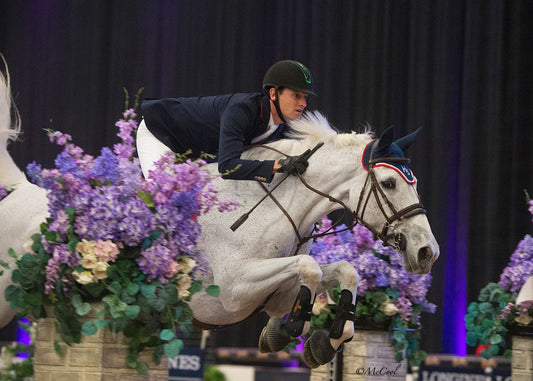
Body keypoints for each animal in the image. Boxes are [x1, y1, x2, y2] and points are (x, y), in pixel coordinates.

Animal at [0, 69, 438, 368]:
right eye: (389, 183)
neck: (272, 206)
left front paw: (320, 340)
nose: (427, 253)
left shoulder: (275, 281)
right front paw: (290, 330)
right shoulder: (233, 291)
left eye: (414, 182)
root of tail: (22, 190)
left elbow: (342, 271)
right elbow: (309, 268)